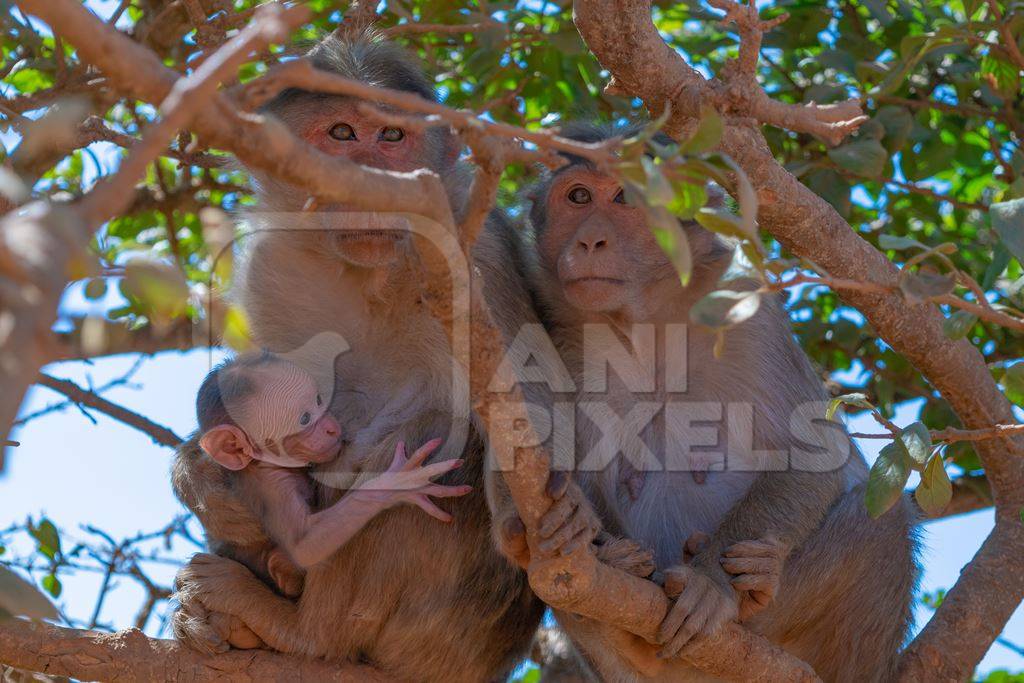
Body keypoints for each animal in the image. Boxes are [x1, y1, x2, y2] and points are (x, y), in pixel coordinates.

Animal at [192, 352, 471, 598]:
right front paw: (397, 485)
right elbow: (307, 544)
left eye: (318, 400)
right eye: (304, 419)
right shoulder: (273, 485)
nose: (331, 427)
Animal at [479, 124, 921, 683]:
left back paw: (755, 585)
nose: (589, 240)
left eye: (625, 198)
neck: (647, 323)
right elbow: (523, 426)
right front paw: (548, 528)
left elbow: (814, 453)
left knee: (886, 521)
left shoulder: (747, 307)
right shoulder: (547, 318)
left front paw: (711, 582)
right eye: (577, 197)